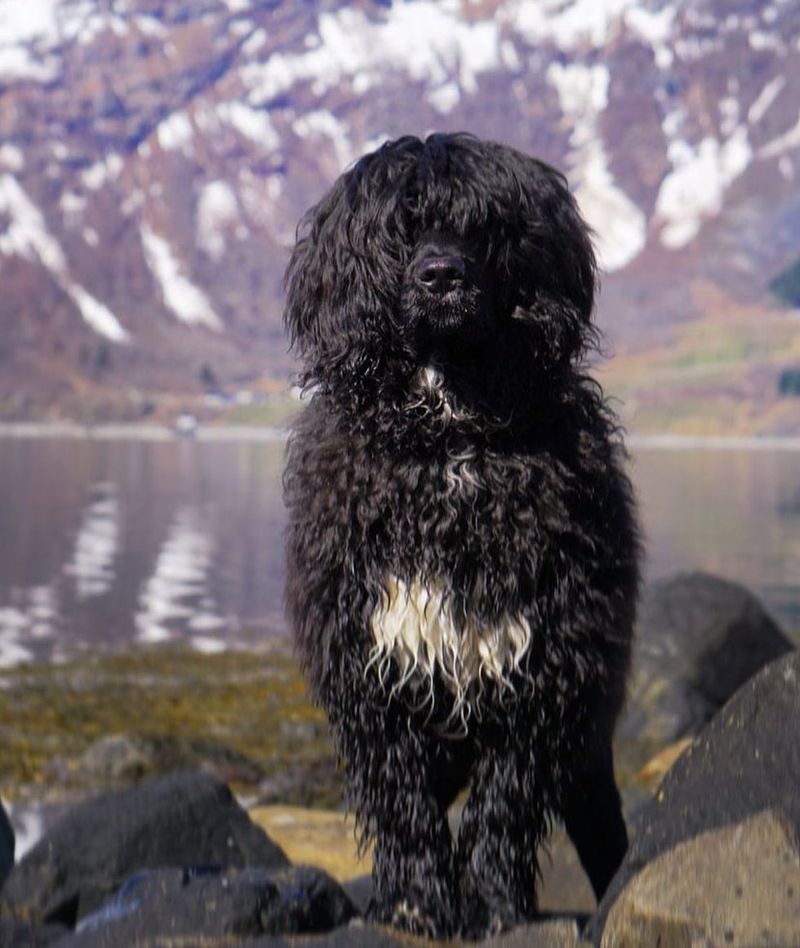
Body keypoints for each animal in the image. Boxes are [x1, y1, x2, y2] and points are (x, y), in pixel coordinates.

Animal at [284, 135, 640, 940]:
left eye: (483, 227)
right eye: (403, 227)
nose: (440, 275)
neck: (447, 439)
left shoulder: (543, 675)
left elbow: (503, 809)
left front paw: (494, 908)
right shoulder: (373, 673)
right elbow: (404, 809)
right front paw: (415, 906)